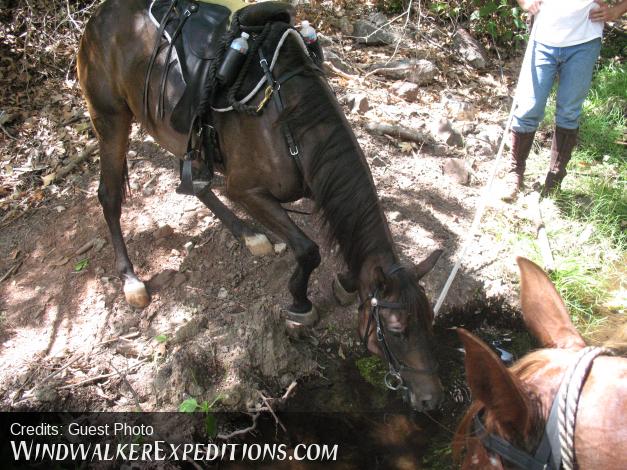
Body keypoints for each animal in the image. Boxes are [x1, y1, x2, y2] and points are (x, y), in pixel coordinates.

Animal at [77, 0, 446, 412]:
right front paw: (301, 304)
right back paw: (131, 280)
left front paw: (346, 282)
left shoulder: (315, 182)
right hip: (110, 118)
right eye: (396, 331)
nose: (432, 399)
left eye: (431, 321)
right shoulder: (247, 191)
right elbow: (308, 249)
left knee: (192, 181)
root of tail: (99, 17)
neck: (289, 123)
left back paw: (247, 234)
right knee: (110, 196)